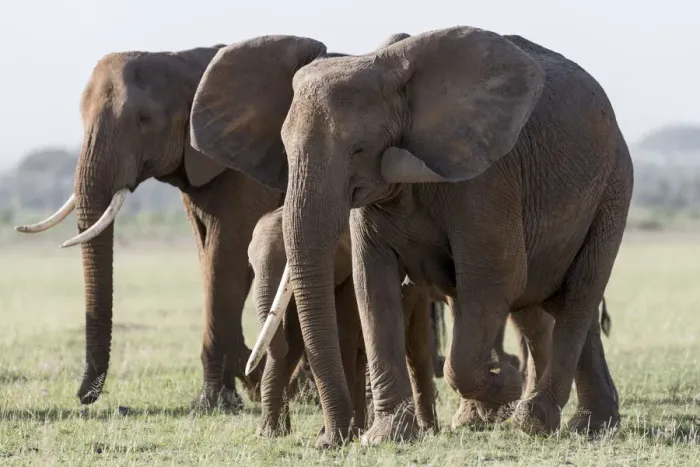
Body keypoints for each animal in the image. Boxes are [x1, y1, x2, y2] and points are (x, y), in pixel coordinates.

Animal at [15, 44, 283, 409]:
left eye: (144, 120)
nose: (83, 397)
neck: (188, 63)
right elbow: (211, 258)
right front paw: (238, 387)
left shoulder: (243, 170)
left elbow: (225, 255)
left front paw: (214, 402)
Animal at [247, 206, 438, 436]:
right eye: (251, 266)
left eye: (287, 261)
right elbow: (294, 339)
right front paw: (270, 434)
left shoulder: (349, 277)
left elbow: (341, 334)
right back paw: (362, 427)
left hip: (419, 293)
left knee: (417, 348)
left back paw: (428, 430)